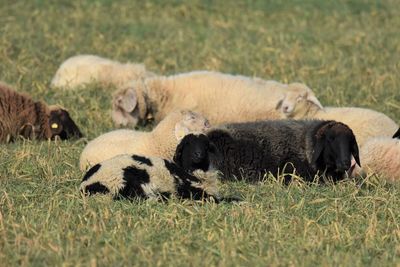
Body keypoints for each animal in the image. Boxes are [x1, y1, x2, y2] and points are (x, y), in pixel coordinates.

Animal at [80, 135, 238, 202]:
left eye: (206, 145)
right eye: (187, 144)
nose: (198, 154)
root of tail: (86, 185)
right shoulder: (188, 189)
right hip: (126, 177)